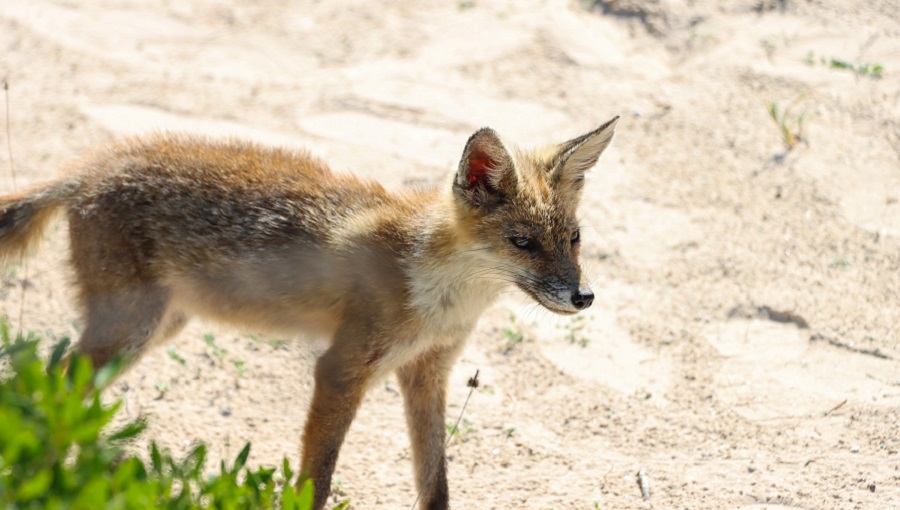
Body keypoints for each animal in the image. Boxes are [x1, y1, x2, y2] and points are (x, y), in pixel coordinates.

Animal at [0, 116, 620, 510]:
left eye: (574, 239)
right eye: (522, 243)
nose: (584, 297)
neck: (441, 295)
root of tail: (89, 168)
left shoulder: (428, 373)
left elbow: (435, 482)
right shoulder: (342, 368)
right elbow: (316, 480)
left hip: (158, 325)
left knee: (63, 386)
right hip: (132, 326)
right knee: (52, 387)